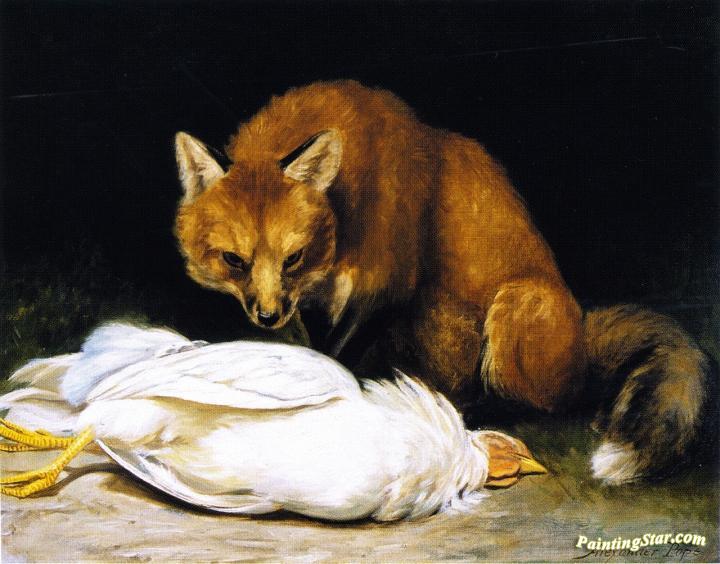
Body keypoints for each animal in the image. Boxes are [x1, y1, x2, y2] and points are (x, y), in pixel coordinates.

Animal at [174, 80, 714, 485]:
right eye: (234, 260)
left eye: (293, 257)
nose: (267, 317)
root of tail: (582, 340)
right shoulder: (314, 300)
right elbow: (317, 349)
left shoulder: (386, 279)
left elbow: (338, 353)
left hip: (515, 309)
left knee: (548, 403)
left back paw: (471, 408)